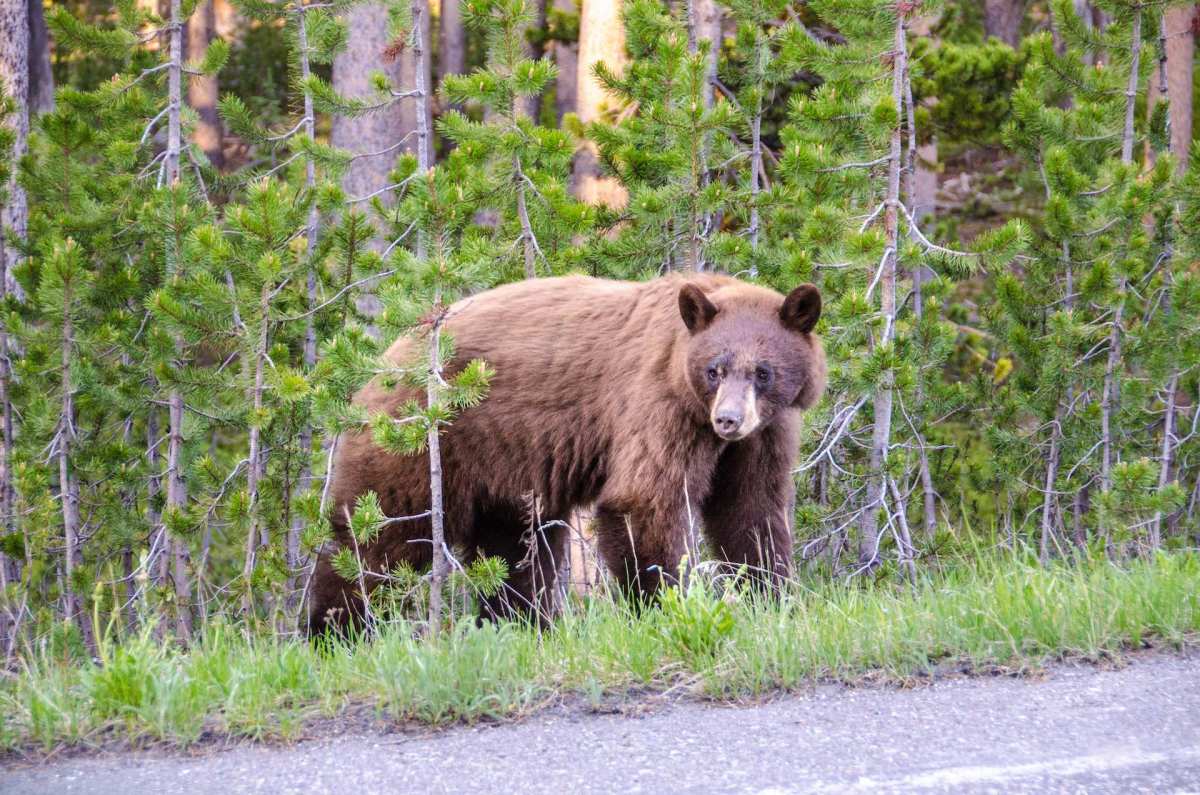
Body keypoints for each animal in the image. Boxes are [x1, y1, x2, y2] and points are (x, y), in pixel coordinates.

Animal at [304, 273, 825, 634]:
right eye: (715, 369)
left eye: (763, 371)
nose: (729, 420)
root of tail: (380, 364)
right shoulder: (657, 403)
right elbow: (642, 499)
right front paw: (663, 604)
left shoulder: (764, 433)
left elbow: (750, 510)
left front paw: (772, 597)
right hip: (416, 448)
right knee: (374, 541)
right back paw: (332, 631)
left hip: (504, 472)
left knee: (516, 553)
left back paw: (520, 624)